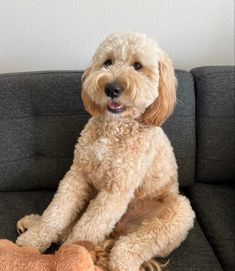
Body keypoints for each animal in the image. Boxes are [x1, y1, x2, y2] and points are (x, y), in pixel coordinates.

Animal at [16, 33, 195, 271]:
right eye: (108, 62)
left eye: (138, 66)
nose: (112, 88)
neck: (113, 129)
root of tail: (118, 232)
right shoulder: (78, 174)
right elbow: (57, 211)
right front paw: (33, 241)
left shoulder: (115, 192)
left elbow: (86, 229)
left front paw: (72, 257)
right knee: (65, 225)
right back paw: (31, 222)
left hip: (177, 213)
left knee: (128, 247)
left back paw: (121, 260)